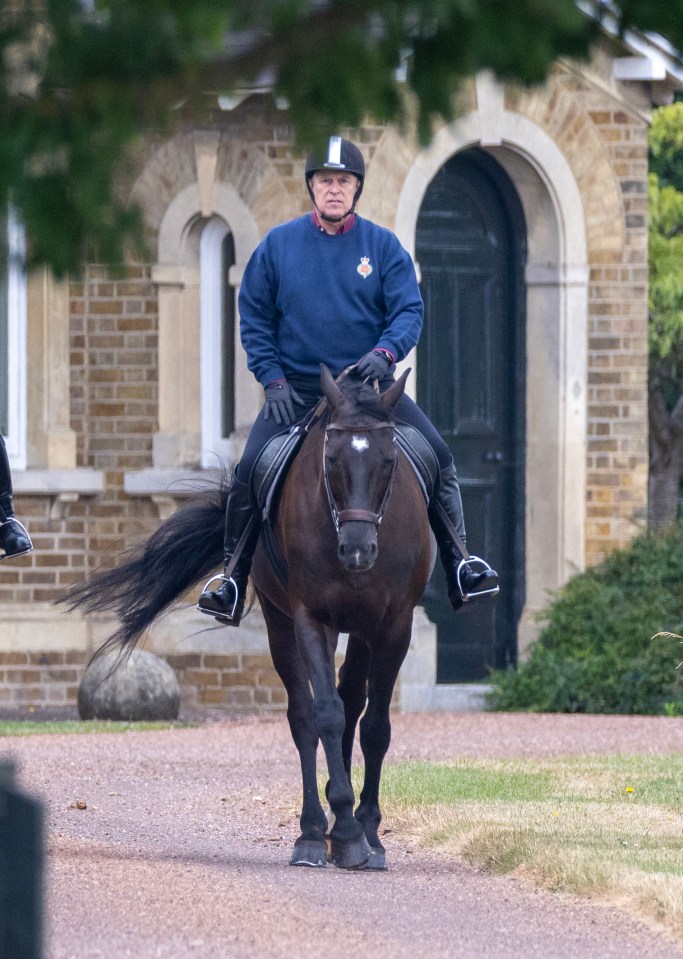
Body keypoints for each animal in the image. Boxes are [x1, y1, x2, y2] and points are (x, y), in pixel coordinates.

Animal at [60, 366, 432, 872]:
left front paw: (369, 833)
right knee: (306, 717)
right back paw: (315, 833)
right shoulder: (310, 617)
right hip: (282, 623)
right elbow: (326, 715)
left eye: (390, 460)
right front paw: (346, 831)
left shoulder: (395, 624)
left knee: (354, 702)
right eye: (330, 458)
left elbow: (375, 726)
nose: (357, 551)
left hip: (361, 629)